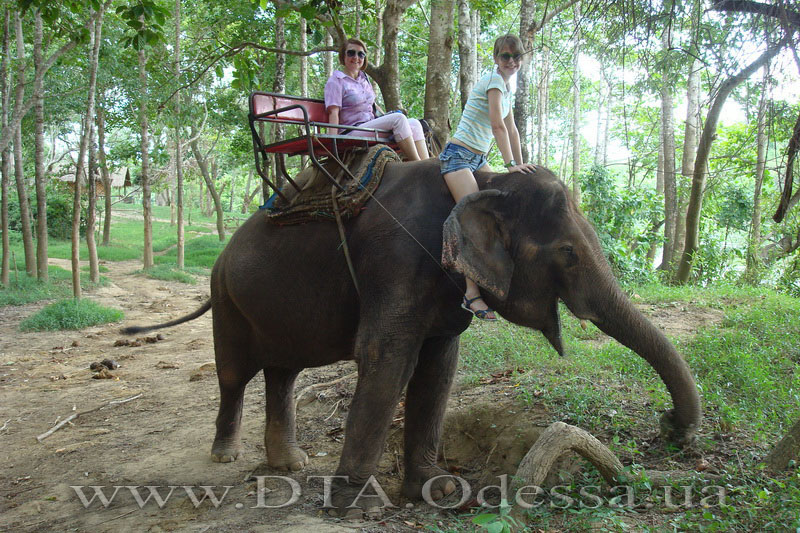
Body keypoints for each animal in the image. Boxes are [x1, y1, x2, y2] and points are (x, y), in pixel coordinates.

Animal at [123, 158, 700, 516]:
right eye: (568, 254)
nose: (672, 427)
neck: (483, 179)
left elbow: (438, 366)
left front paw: (437, 489)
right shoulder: (395, 261)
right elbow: (386, 356)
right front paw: (360, 505)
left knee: (284, 372)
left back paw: (291, 465)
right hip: (226, 298)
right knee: (234, 374)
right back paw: (225, 455)